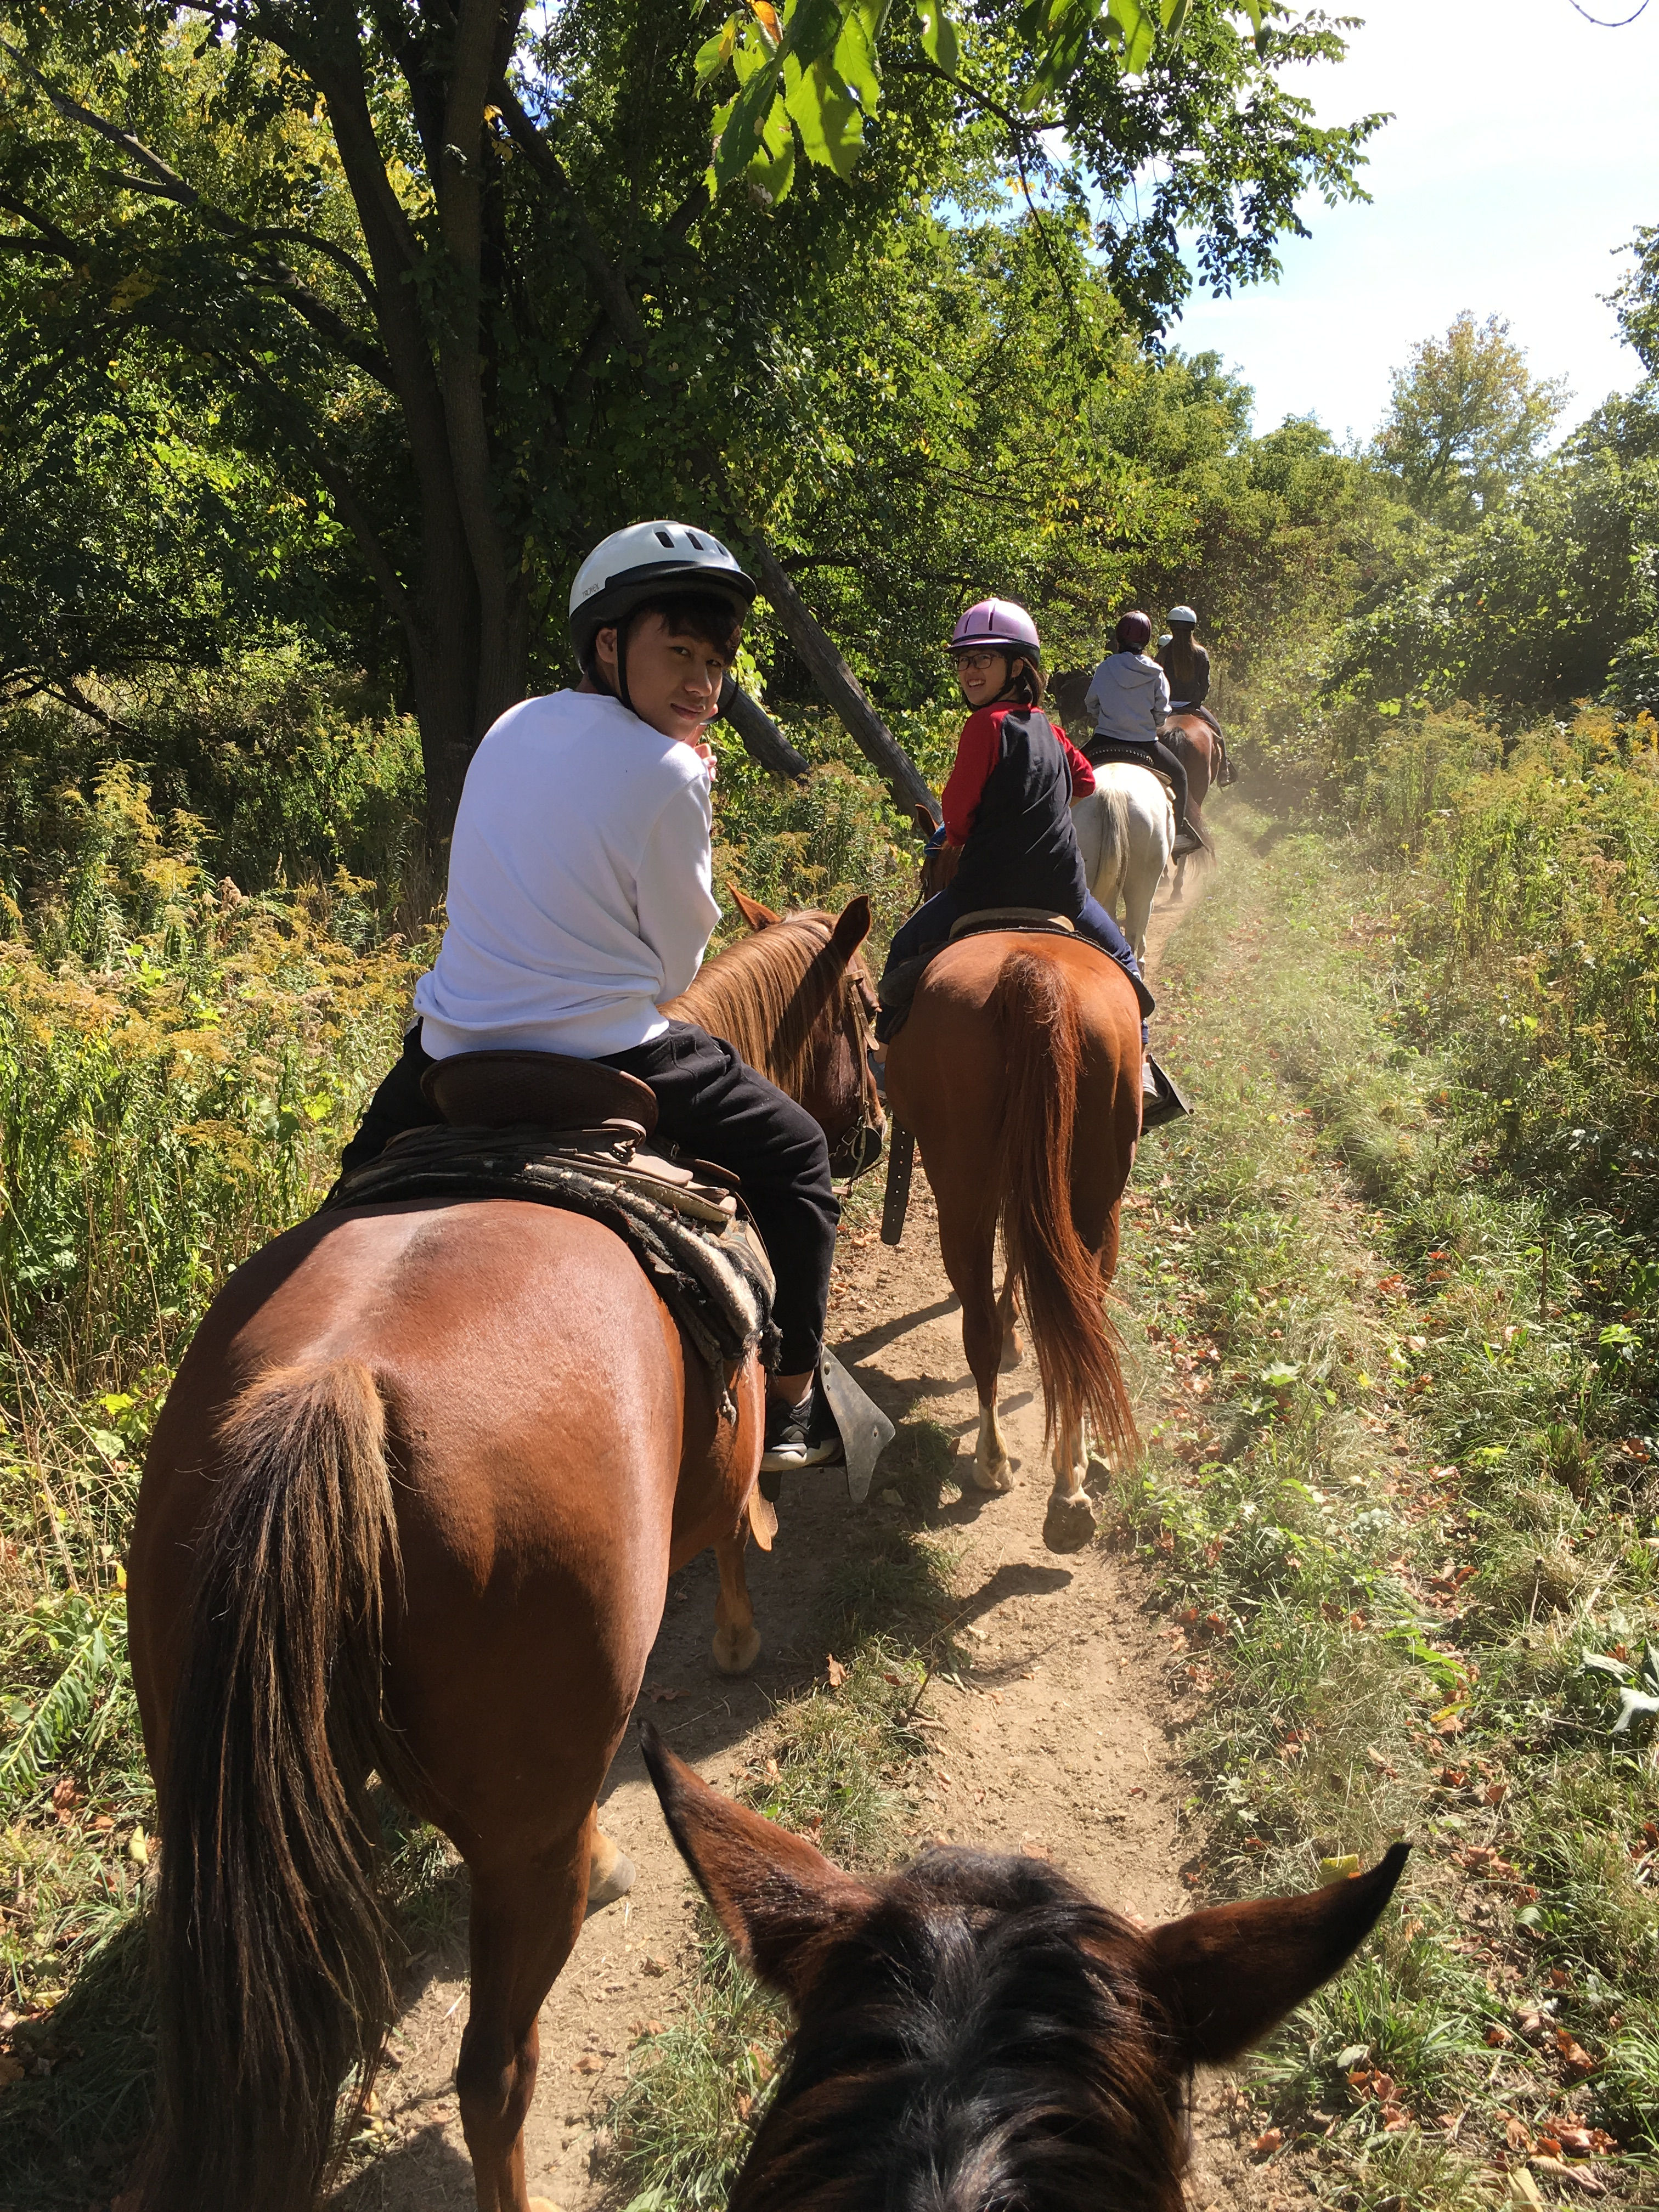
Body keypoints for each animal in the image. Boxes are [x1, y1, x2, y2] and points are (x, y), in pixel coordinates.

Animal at [124, 898, 882, 2212]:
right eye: (870, 1012)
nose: (878, 1136)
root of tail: (338, 1387)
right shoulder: (723, 1461)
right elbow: (735, 1536)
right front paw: (738, 1638)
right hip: (519, 1850)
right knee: (496, 2074)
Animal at [882, 927, 1142, 1553]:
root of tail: (1032, 974)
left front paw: (1010, 1335)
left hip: (966, 1195)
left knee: (981, 1325)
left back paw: (997, 1462)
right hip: (1096, 1204)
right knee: (1079, 1317)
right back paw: (1069, 1482)